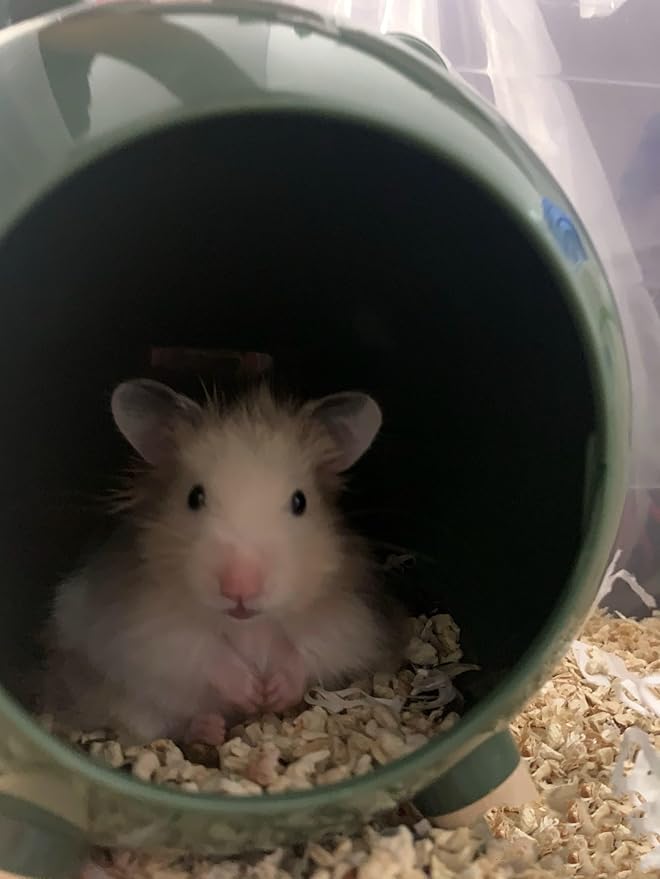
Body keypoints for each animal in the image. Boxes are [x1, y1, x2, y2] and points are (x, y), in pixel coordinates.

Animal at [41, 379, 406, 746]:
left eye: (300, 502)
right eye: (194, 497)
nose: (239, 588)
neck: (248, 625)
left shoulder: (349, 617)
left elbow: (312, 649)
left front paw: (272, 693)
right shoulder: (142, 628)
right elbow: (200, 650)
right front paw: (251, 692)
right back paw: (210, 728)